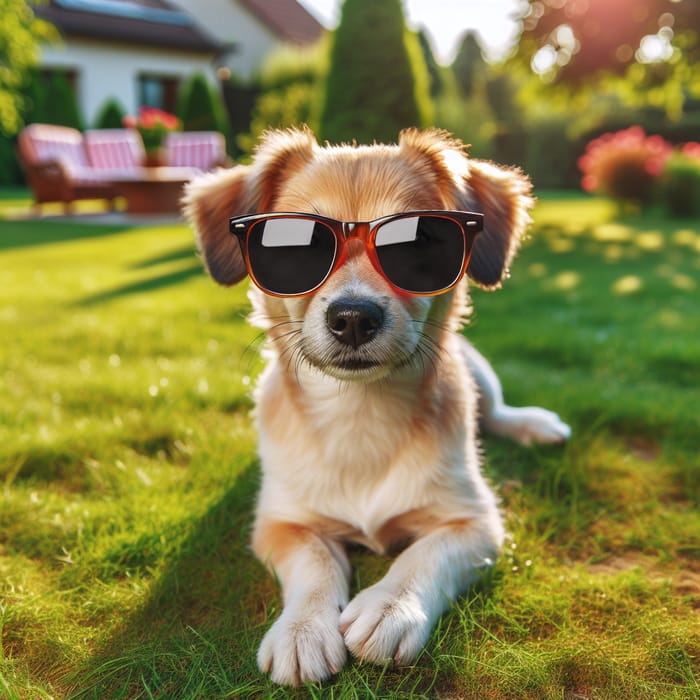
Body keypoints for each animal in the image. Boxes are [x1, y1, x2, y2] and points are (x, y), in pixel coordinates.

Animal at [183, 129, 572, 688]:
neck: (360, 416)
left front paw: (391, 607)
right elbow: (314, 563)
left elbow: (424, 554)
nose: (353, 317)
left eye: (420, 243)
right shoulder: (281, 524)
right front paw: (302, 627)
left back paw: (536, 424)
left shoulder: (474, 524)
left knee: (497, 413)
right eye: (294, 245)